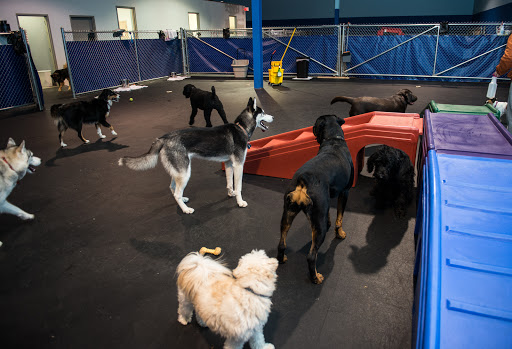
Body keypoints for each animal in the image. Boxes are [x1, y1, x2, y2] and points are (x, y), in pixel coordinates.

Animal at [118, 96, 274, 213]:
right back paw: (186, 209)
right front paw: (240, 202)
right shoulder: (238, 165)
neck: (241, 127)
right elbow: (239, 186)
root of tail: (163, 138)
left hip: (178, 172)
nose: (273, 116)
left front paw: (231, 194)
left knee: (173, 188)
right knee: (176, 193)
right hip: (184, 172)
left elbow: (230, 183)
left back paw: (183, 201)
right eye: (263, 112)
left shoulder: (229, 164)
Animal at [278, 114, 354, 282]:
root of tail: (303, 179)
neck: (333, 140)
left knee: (281, 244)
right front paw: (340, 233)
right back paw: (316, 278)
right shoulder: (345, 192)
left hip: (287, 215)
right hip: (319, 228)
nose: (312, 128)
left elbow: (330, 213)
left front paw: (330, 221)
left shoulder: (328, 199)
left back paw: (282, 259)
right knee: (311, 257)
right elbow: (339, 218)